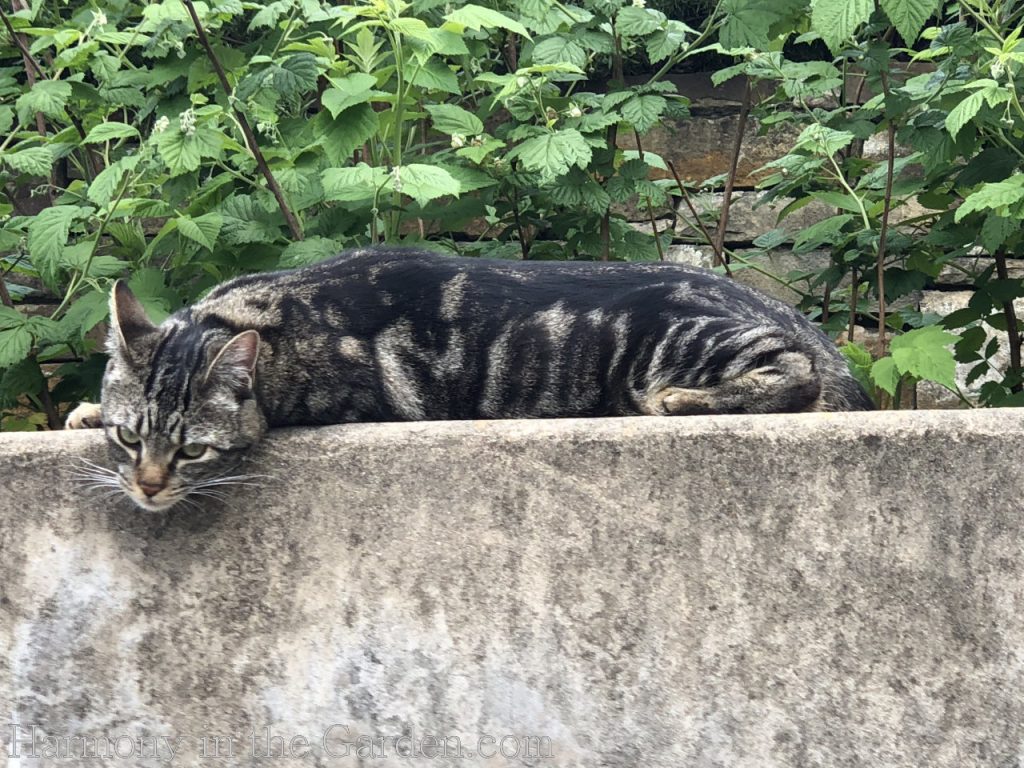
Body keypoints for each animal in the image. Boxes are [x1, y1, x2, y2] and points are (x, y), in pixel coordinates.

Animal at [68, 246, 872, 512]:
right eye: (129, 438)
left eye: (193, 451)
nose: (147, 487)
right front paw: (82, 410)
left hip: (674, 339)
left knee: (794, 374)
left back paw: (682, 401)